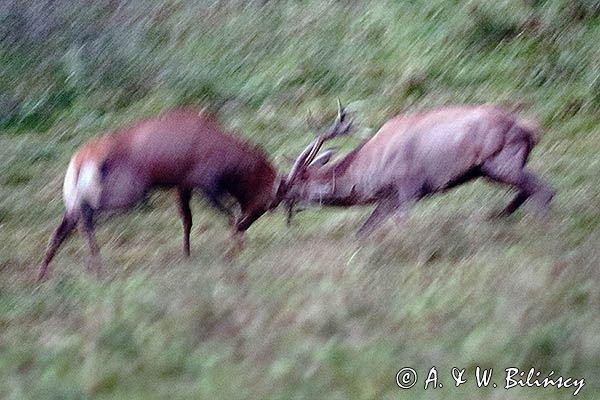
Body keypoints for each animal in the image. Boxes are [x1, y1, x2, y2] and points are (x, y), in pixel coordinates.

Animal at [38, 108, 282, 280]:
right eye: (268, 203)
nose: (246, 224)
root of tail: (82, 158)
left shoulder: (183, 186)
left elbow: (187, 221)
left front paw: (187, 255)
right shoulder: (206, 185)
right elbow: (228, 214)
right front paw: (238, 244)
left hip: (75, 201)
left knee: (63, 228)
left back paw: (43, 275)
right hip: (123, 195)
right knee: (85, 218)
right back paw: (97, 268)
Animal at [284, 101, 556, 236]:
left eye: (292, 184)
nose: (277, 199)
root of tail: (529, 129)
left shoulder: (409, 187)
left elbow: (403, 224)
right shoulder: (388, 198)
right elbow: (363, 232)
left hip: (499, 163)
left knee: (544, 189)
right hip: (494, 168)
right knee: (531, 190)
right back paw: (500, 216)